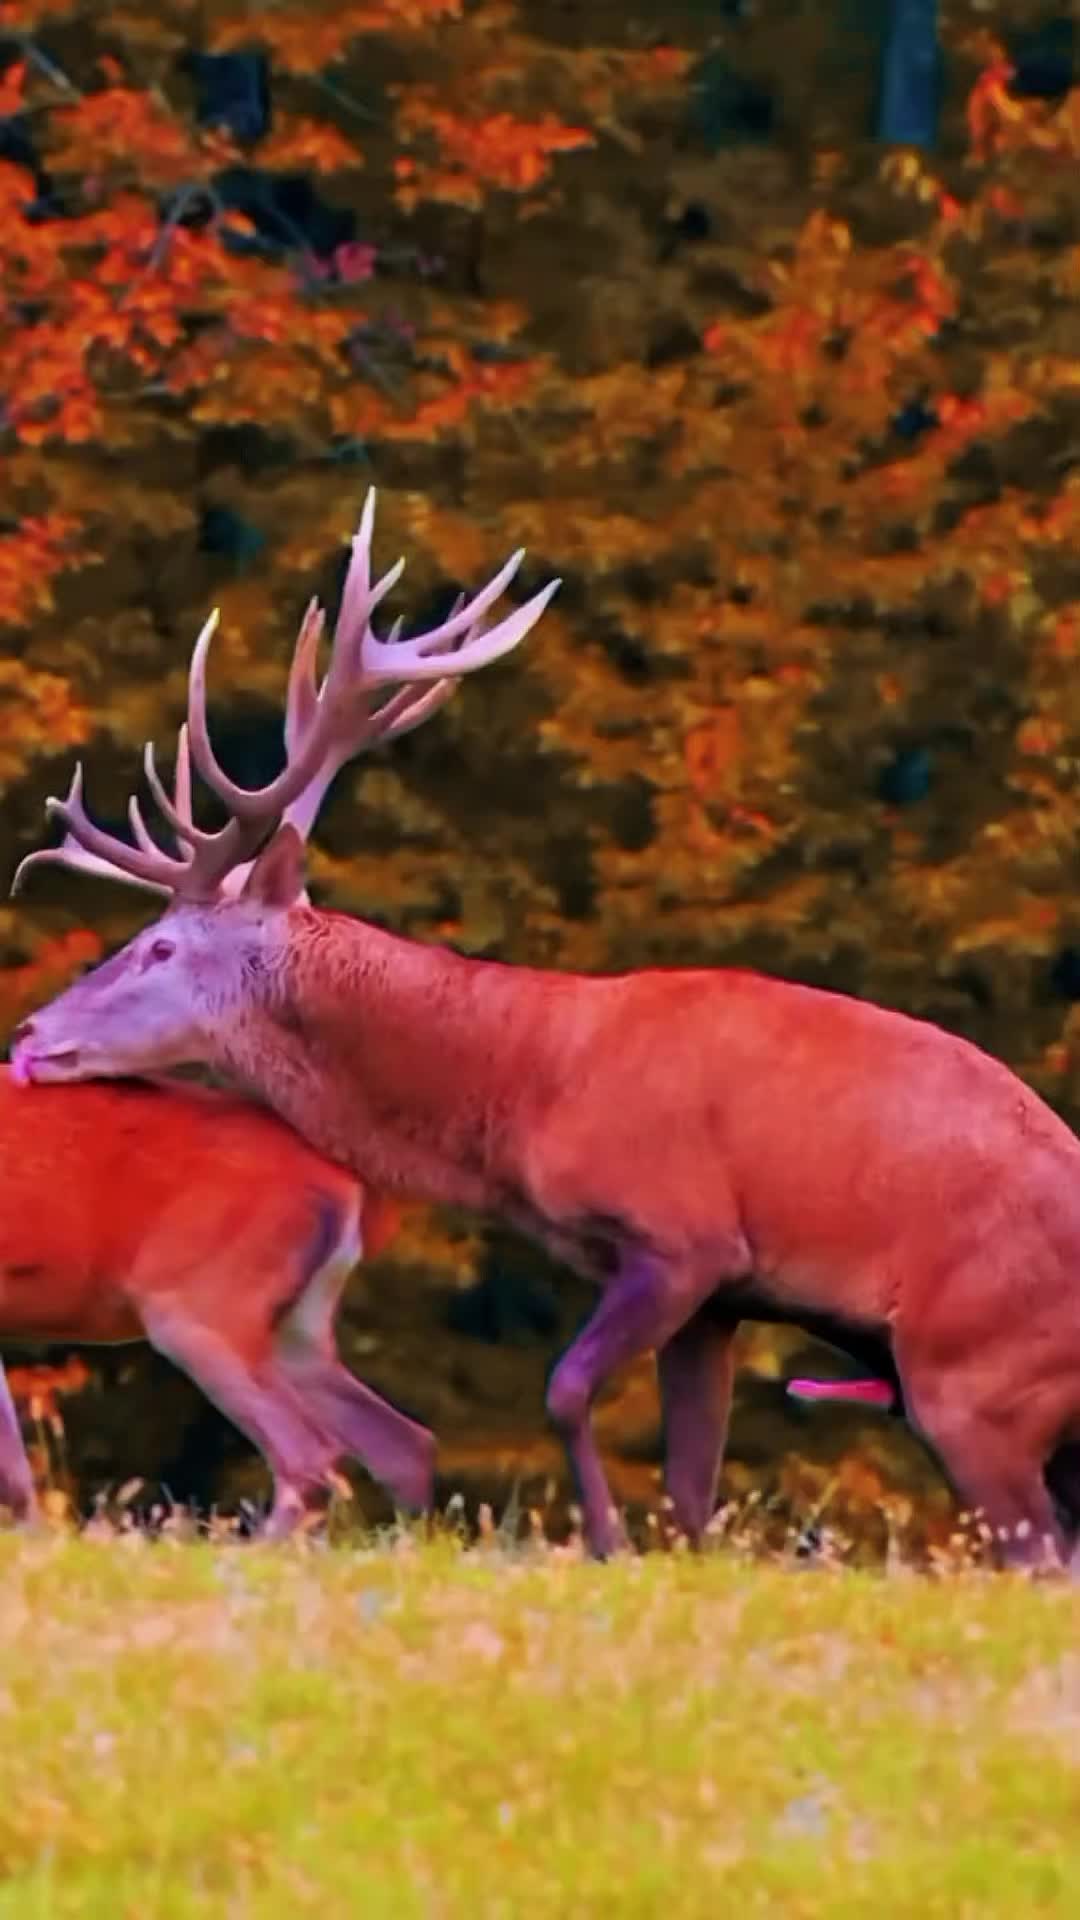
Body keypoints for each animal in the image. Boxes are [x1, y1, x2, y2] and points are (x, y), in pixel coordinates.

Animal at [12, 487, 1080, 1570]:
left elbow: (565, 1392)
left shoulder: (680, 1234)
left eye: (159, 947)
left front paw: (602, 1541)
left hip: (974, 1374)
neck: (526, 1083)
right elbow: (690, 1485)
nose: (33, 1032)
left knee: (1038, 1550)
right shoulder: (722, 1296)